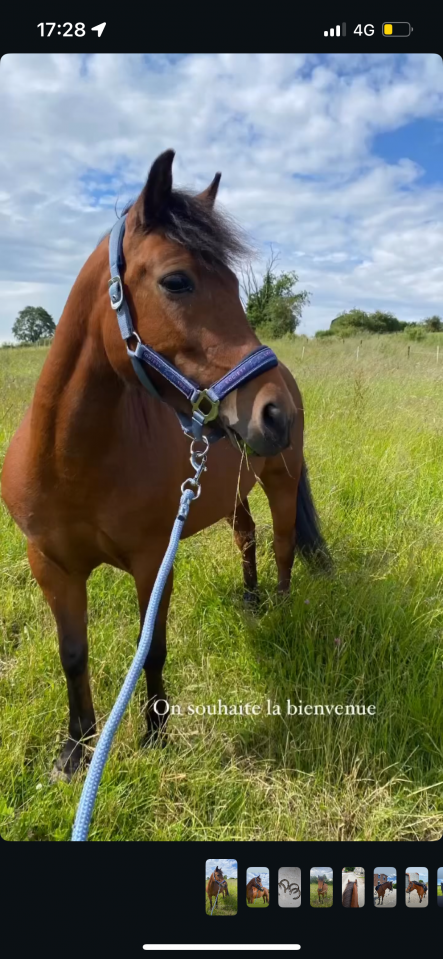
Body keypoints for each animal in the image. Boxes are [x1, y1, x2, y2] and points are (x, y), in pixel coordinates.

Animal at [1, 149, 330, 781]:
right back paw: (251, 600)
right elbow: (72, 654)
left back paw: (279, 609)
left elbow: (150, 647)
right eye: (177, 280)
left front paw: (155, 735)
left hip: (281, 478)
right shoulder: (50, 565)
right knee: (248, 536)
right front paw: (75, 749)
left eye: (235, 284)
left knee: (281, 543)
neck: (73, 463)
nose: (274, 412)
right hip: (234, 490)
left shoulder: (155, 561)